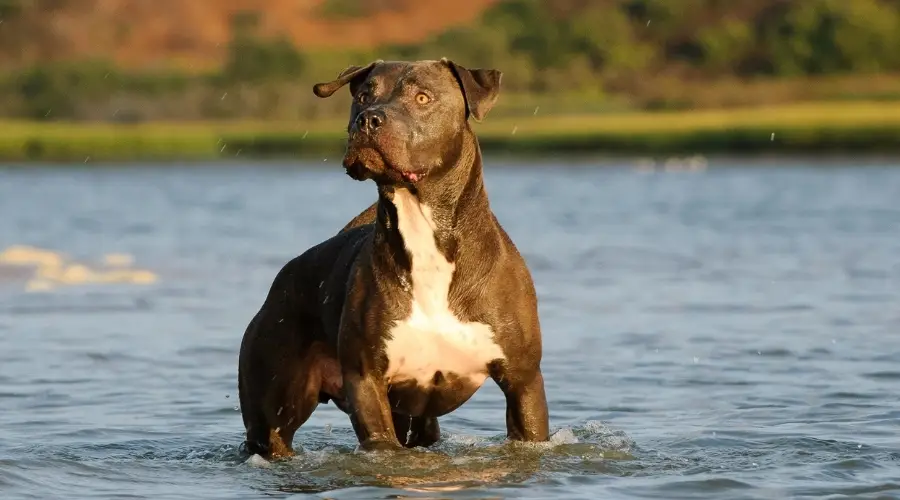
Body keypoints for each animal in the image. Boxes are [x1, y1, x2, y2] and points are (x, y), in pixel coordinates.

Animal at [237, 57, 548, 458]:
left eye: (423, 97)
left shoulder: (523, 383)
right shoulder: (367, 380)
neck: (423, 233)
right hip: (273, 410)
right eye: (364, 96)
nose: (368, 119)